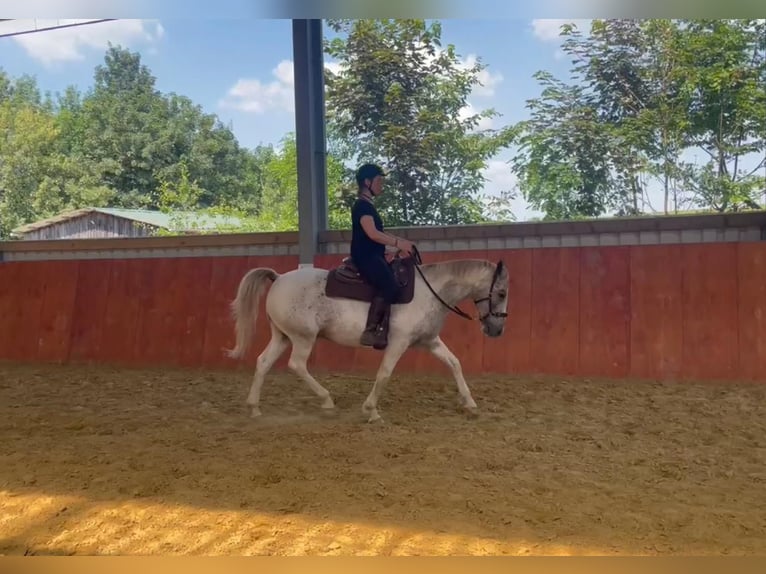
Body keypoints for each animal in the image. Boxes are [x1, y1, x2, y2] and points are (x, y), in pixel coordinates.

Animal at [228, 254, 510, 426]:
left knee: (263, 362)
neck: (431, 292)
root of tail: (278, 278)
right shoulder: (398, 343)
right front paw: (371, 411)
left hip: (283, 337)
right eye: (501, 293)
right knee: (297, 365)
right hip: (302, 338)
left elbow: (454, 363)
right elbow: (384, 374)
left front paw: (470, 403)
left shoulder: (430, 341)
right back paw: (326, 400)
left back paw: (254, 408)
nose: (496, 330)